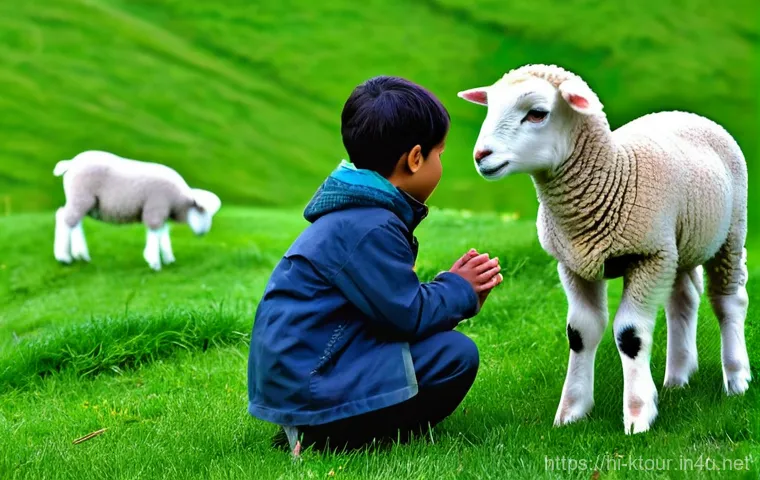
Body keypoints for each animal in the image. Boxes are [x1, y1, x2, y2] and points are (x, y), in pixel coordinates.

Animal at [53, 150, 222, 271]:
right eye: (200, 209)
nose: (202, 233)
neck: (178, 200)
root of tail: (71, 163)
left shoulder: (162, 211)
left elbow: (163, 233)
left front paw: (167, 258)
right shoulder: (155, 208)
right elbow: (155, 232)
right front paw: (154, 262)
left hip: (84, 201)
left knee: (72, 220)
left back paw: (79, 254)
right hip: (81, 196)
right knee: (66, 219)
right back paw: (64, 257)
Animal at [458, 63, 750, 434]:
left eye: (537, 113)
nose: (481, 157)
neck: (615, 173)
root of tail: (686, 113)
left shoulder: (646, 256)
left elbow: (630, 335)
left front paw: (638, 415)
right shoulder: (574, 264)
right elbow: (581, 332)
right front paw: (572, 411)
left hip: (729, 232)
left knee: (728, 301)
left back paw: (737, 380)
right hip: (678, 246)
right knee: (683, 301)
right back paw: (677, 378)